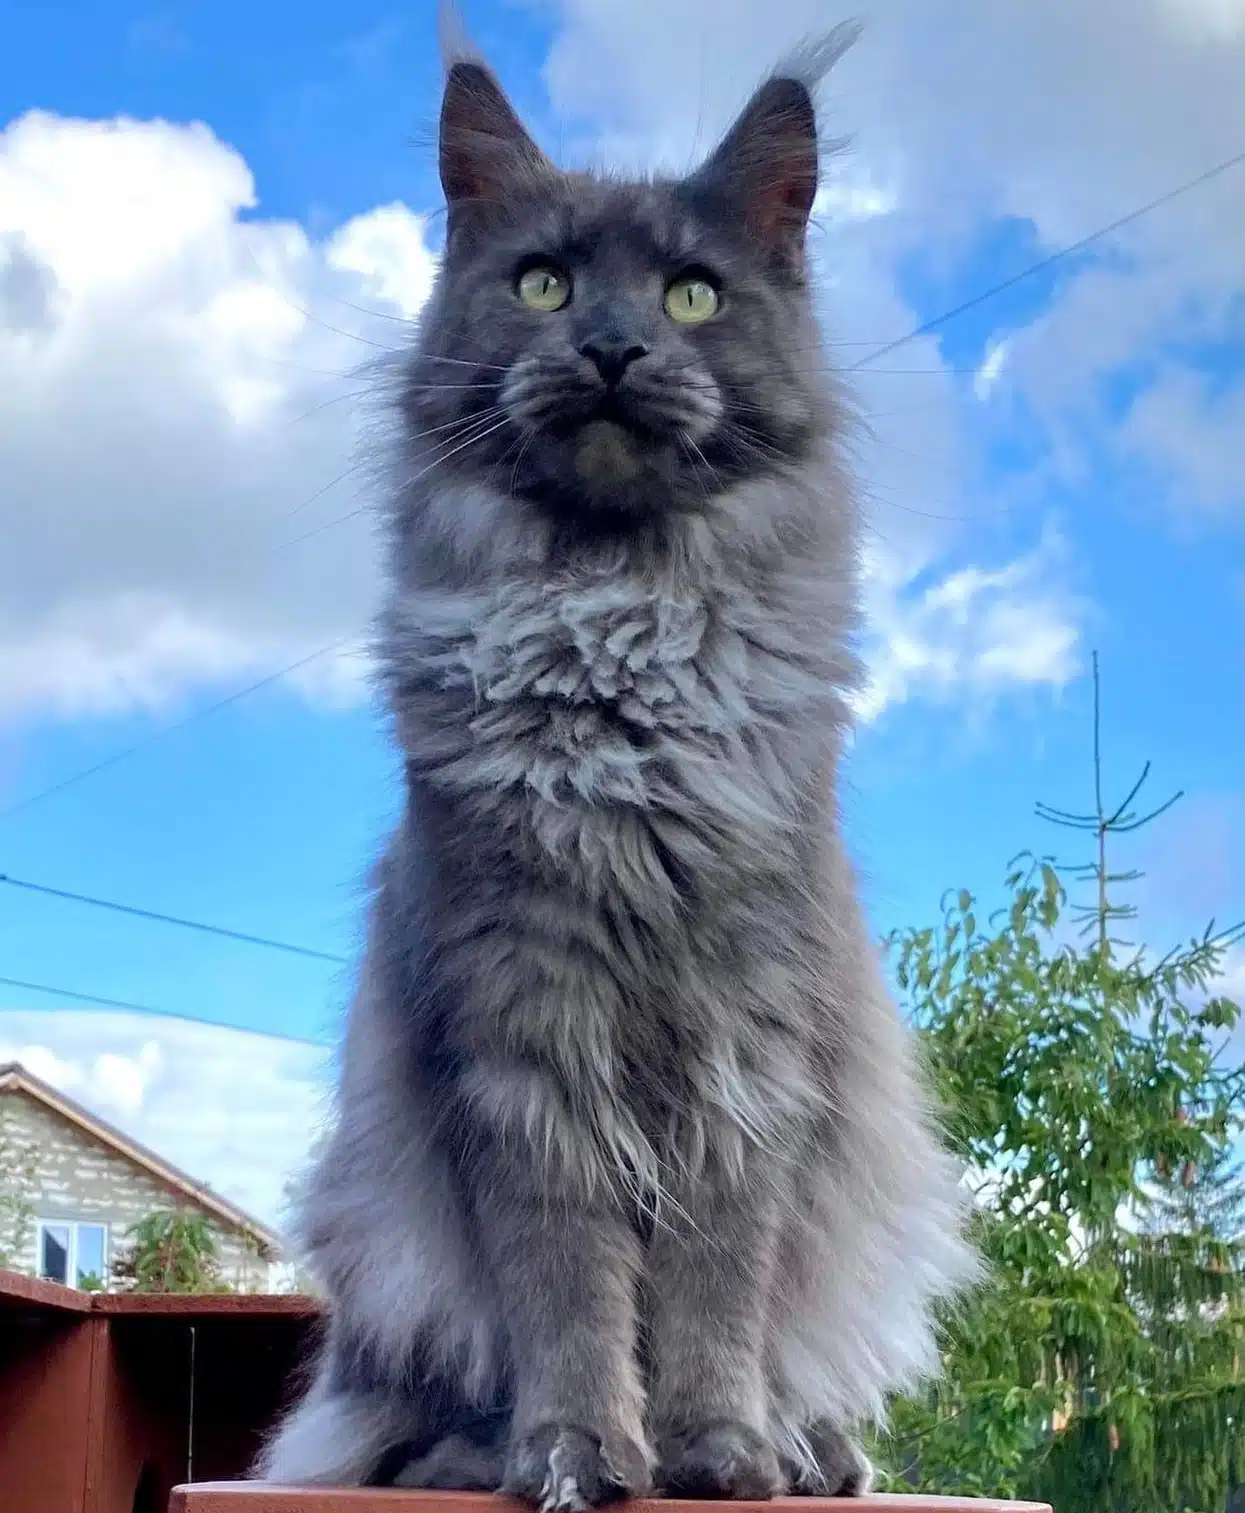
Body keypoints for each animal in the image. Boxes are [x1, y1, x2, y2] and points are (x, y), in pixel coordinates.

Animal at [255, 26, 974, 1513]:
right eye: (542, 281)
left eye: (694, 295)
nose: (610, 346)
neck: (621, 648)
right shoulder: (520, 1039)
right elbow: (570, 1291)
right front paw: (580, 1454)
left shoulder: (748, 1051)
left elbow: (715, 1288)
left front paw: (722, 1454)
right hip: (386, 1248)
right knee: (409, 1422)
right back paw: (483, 1455)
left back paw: (812, 1452)